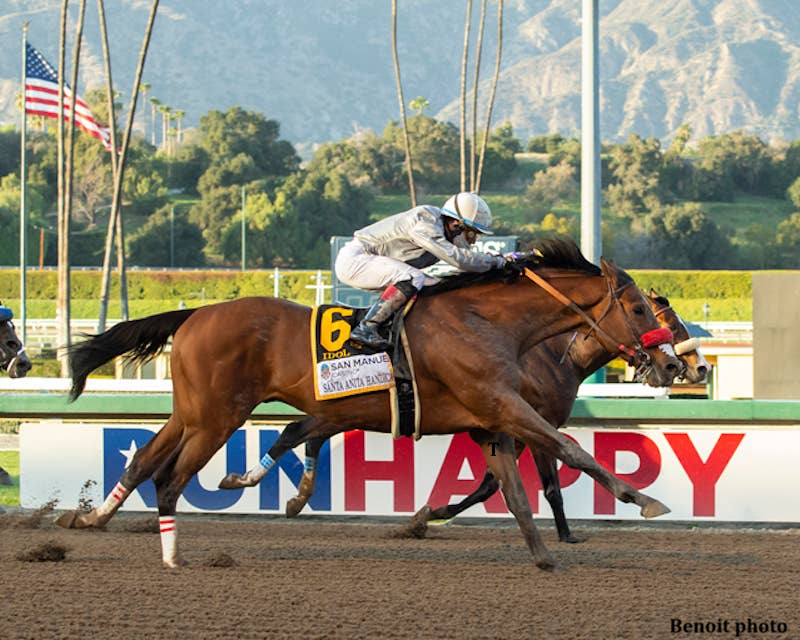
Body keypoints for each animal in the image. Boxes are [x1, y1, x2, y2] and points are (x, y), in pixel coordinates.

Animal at [221, 289, 703, 542]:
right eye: (666, 320)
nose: (685, 368)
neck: (552, 355)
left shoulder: (509, 427)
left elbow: (493, 483)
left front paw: (430, 514)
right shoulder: (529, 423)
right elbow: (546, 486)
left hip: (342, 410)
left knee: (301, 431)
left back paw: (293, 495)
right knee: (297, 432)